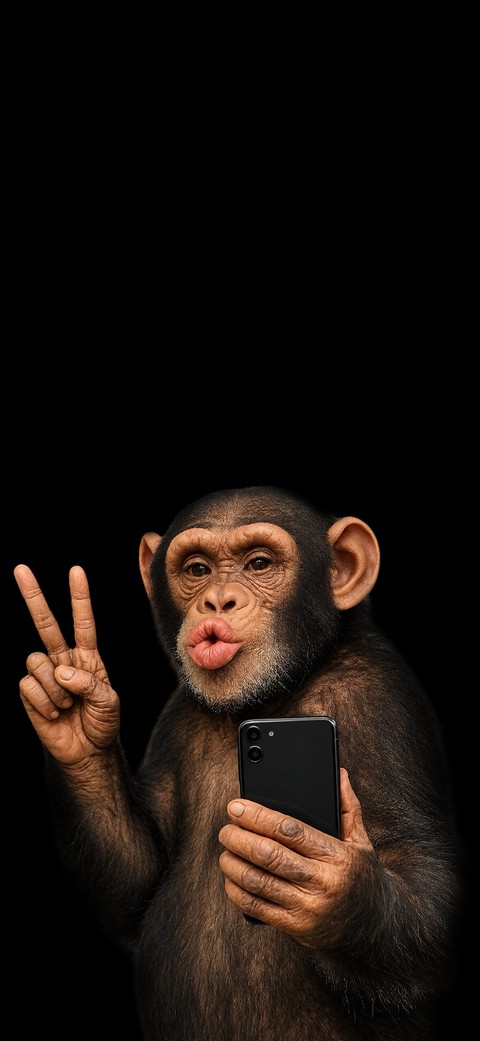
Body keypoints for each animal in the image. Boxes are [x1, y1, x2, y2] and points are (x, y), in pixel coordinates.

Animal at [14, 485, 465, 1041]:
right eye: (197, 569)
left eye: (259, 563)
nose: (218, 601)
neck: (273, 696)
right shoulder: (174, 718)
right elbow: (138, 885)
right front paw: (75, 703)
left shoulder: (379, 706)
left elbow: (425, 885)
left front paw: (330, 889)